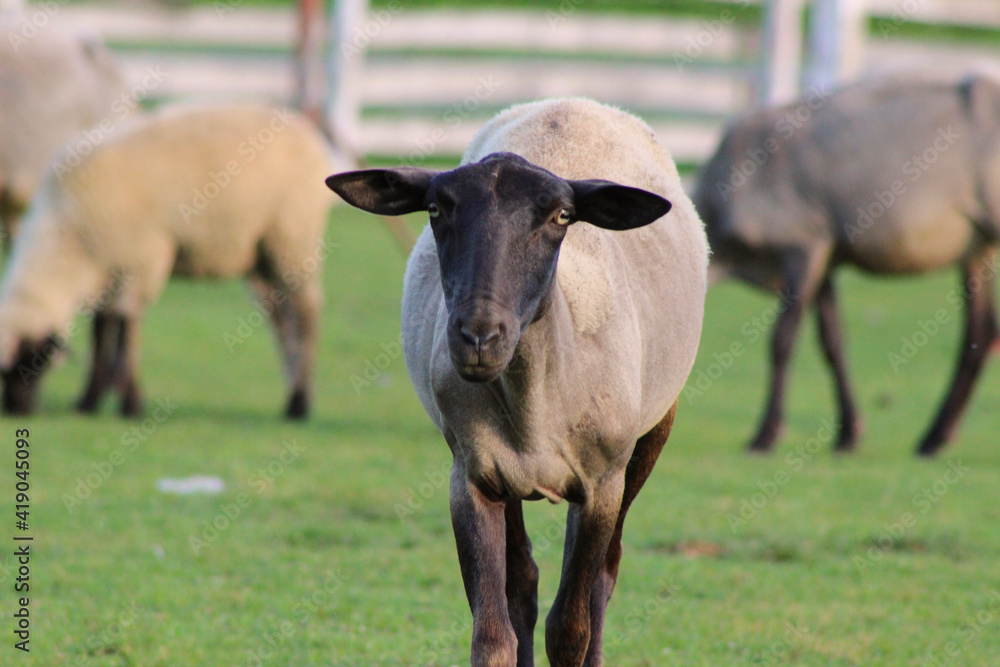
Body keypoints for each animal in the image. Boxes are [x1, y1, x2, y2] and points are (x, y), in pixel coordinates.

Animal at [0, 104, 337, 419]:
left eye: (31, 361)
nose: (16, 410)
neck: (69, 234)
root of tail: (304, 128)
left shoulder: (143, 258)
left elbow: (125, 324)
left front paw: (131, 404)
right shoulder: (108, 264)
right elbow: (102, 327)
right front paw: (89, 401)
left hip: (293, 238)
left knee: (306, 312)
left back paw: (299, 404)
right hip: (260, 253)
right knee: (281, 317)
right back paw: (293, 393)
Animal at [327, 98, 708, 667]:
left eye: (561, 216)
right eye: (435, 209)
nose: (479, 336)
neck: (535, 406)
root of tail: (573, 102)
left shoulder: (601, 483)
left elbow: (570, 629)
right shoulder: (472, 476)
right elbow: (493, 635)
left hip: (649, 434)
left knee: (603, 578)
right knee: (523, 584)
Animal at [693, 70, 1000, 457]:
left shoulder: (803, 246)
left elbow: (782, 340)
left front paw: (766, 434)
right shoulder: (826, 257)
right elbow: (832, 343)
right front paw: (849, 432)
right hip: (976, 246)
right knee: (981, 335)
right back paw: (936, 436)